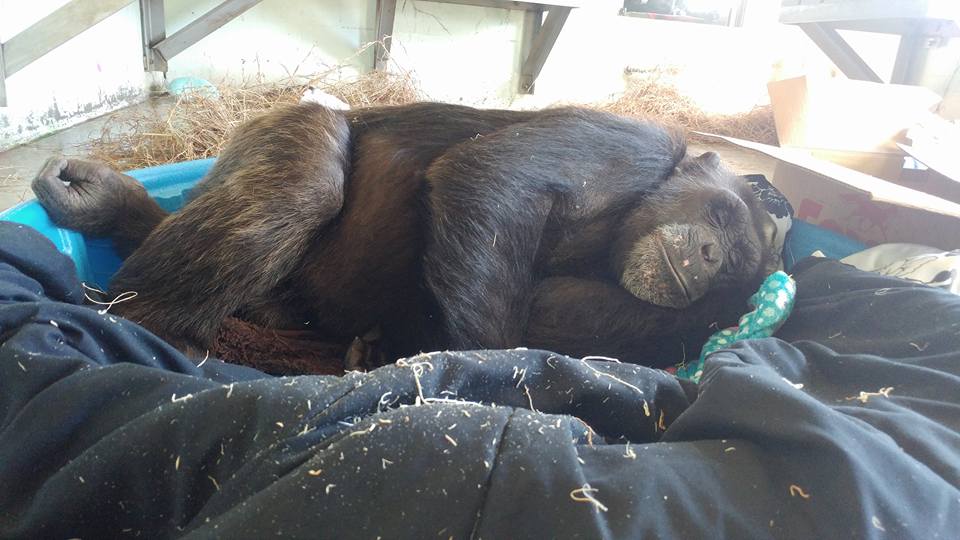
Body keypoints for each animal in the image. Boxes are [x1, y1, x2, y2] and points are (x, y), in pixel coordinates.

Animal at [32, 102, 780, 369]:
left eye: (737, 261)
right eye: (720, 214)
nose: (711, 253)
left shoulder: (699, 311)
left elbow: (557, 323)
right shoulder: (629, 146)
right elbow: (491, 178)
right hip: (279, 128)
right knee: (303, 182)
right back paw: (152, 331)